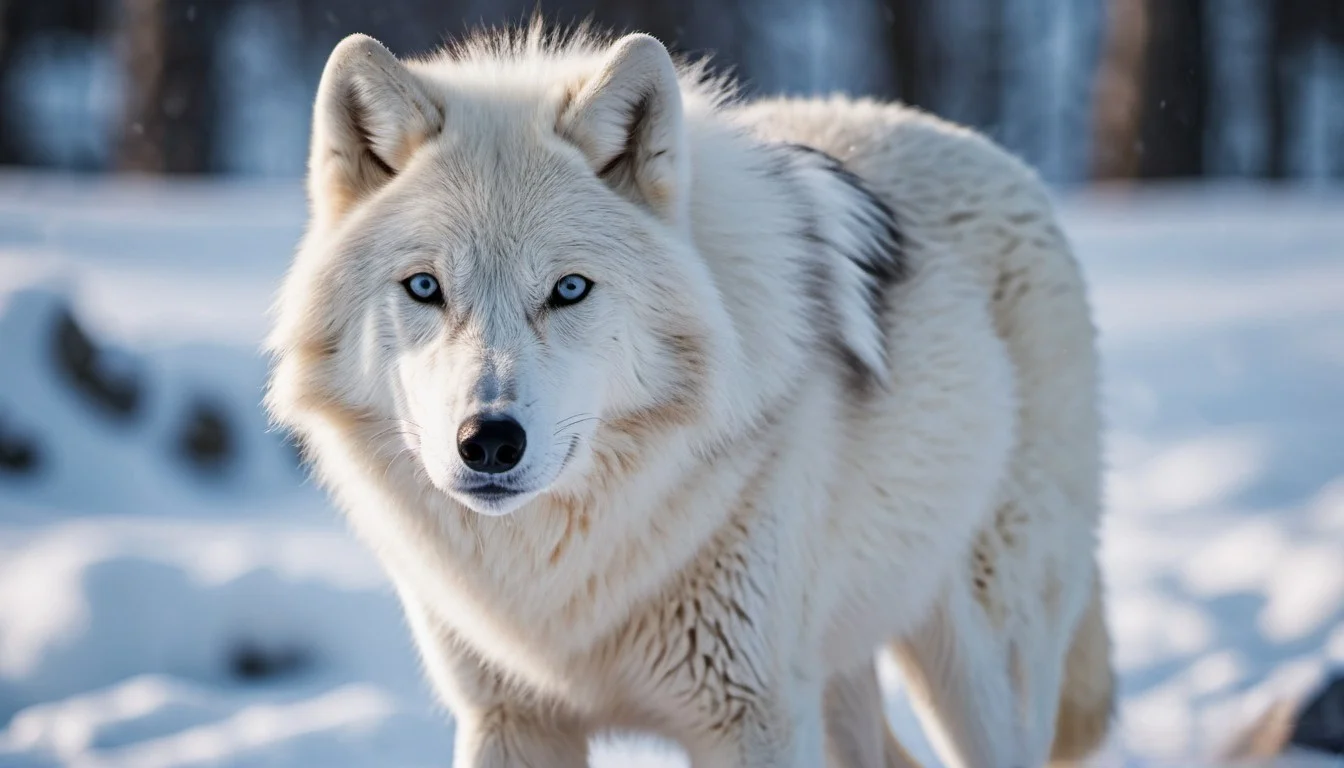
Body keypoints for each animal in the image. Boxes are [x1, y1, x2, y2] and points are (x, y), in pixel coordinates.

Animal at [266, 22, 1113, 768]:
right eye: (424, 287)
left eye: (568, 289)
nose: (490, 441)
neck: (562, 580)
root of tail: (996, 154)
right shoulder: (510, 719)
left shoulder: (753, 717)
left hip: (973, 665)